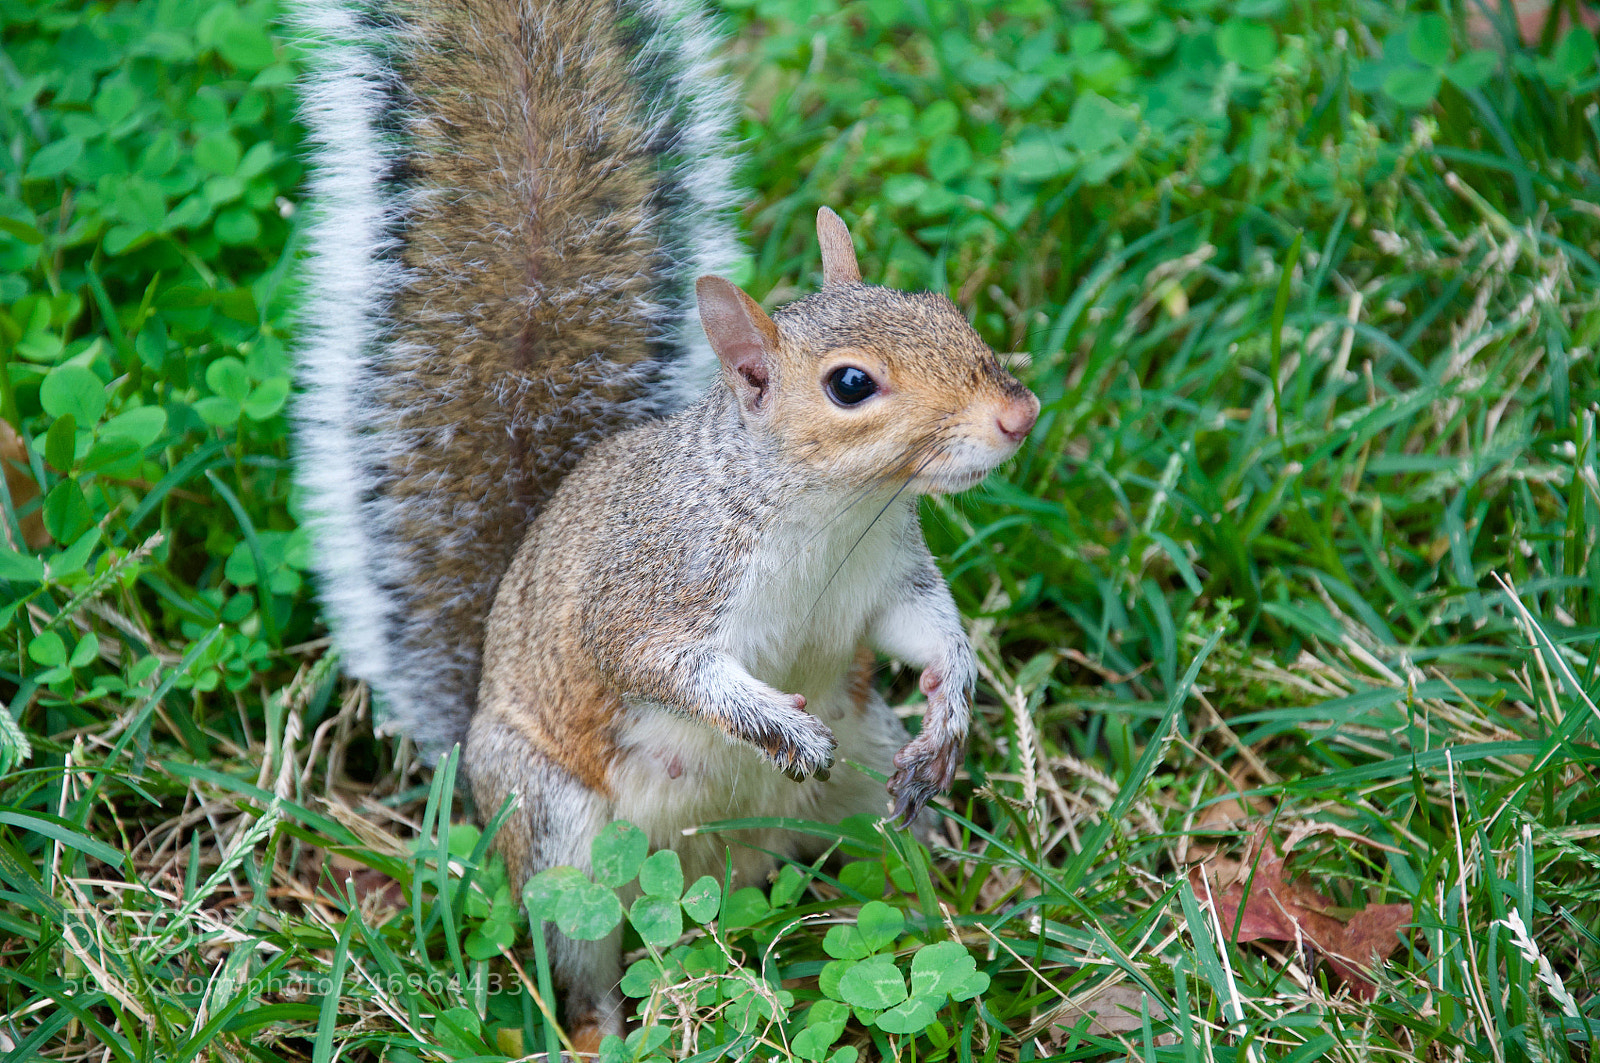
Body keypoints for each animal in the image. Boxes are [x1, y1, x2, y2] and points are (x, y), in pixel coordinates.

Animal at [292, 0, 1038, 1050]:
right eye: (851, 384)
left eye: (938, 305)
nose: (1019, 414)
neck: (828, 513)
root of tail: (736, 859)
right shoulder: (655, 582)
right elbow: (657, 663)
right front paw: (775, 724)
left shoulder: (886, 573)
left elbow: (929, 631)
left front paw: (952, 710)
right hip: (562, 836)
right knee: (581, 954)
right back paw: (601, 1031)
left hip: (864, 785)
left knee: (884, 854)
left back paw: (961, 901)